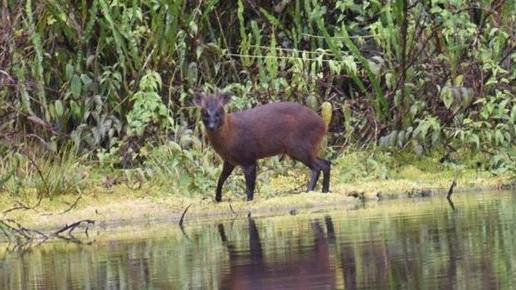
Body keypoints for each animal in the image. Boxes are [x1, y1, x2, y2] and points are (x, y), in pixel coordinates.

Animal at [194, 93, 330, 202]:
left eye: (219, 112)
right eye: (204, 113)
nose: (211, 126)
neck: (229, 137)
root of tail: (323, 125)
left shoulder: (248, 158)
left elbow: (249, 188)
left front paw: (248, 201)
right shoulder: (229, 160)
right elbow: (221, 179)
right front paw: (217, 199)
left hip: (299, 147)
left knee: (318, 167)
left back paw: (309, 191)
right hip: (306, 148)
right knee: (326, 163)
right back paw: (325, 190)